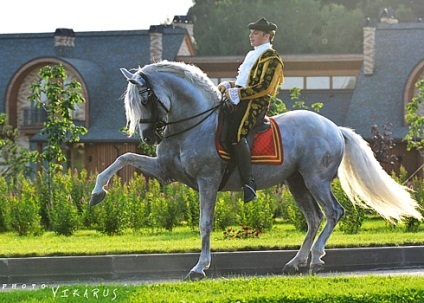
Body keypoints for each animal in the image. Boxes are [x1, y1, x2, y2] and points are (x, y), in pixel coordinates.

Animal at [89, 60, 420, 282]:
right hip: (296, 182)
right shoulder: (165, 171)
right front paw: (96, 194)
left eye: (144, 98)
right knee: (314, 219)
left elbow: (205, 223)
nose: (148, 136)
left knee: (333, 212)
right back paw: (296, 262)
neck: (193, 123)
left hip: (316, 179)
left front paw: (199, 268)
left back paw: (315, 259)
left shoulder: (207, 180)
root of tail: (335, 128)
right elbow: (122, 160)